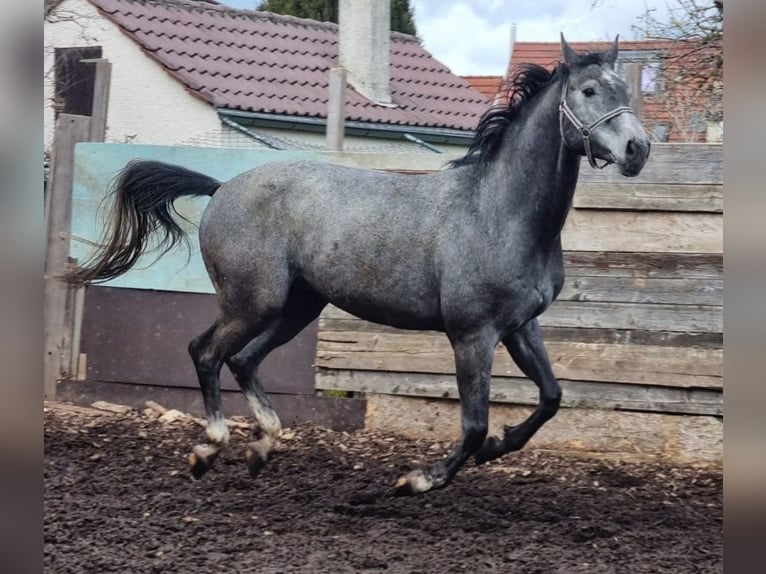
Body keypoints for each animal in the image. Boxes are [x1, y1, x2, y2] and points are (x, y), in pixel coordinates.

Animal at [70, 36, 648, 496]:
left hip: (297, 308)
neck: (497, 209)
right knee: (206, 352)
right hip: (253, 304)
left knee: (244, 361)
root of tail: (222, 187)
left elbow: (551, 398)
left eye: (625, 91)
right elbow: (474, 424)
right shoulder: (472, 334)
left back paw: (262, 448)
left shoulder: (520, 327)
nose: (637, 149)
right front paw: (415, 480)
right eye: (589, 91)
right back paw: (208, 450)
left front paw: (498, 448)